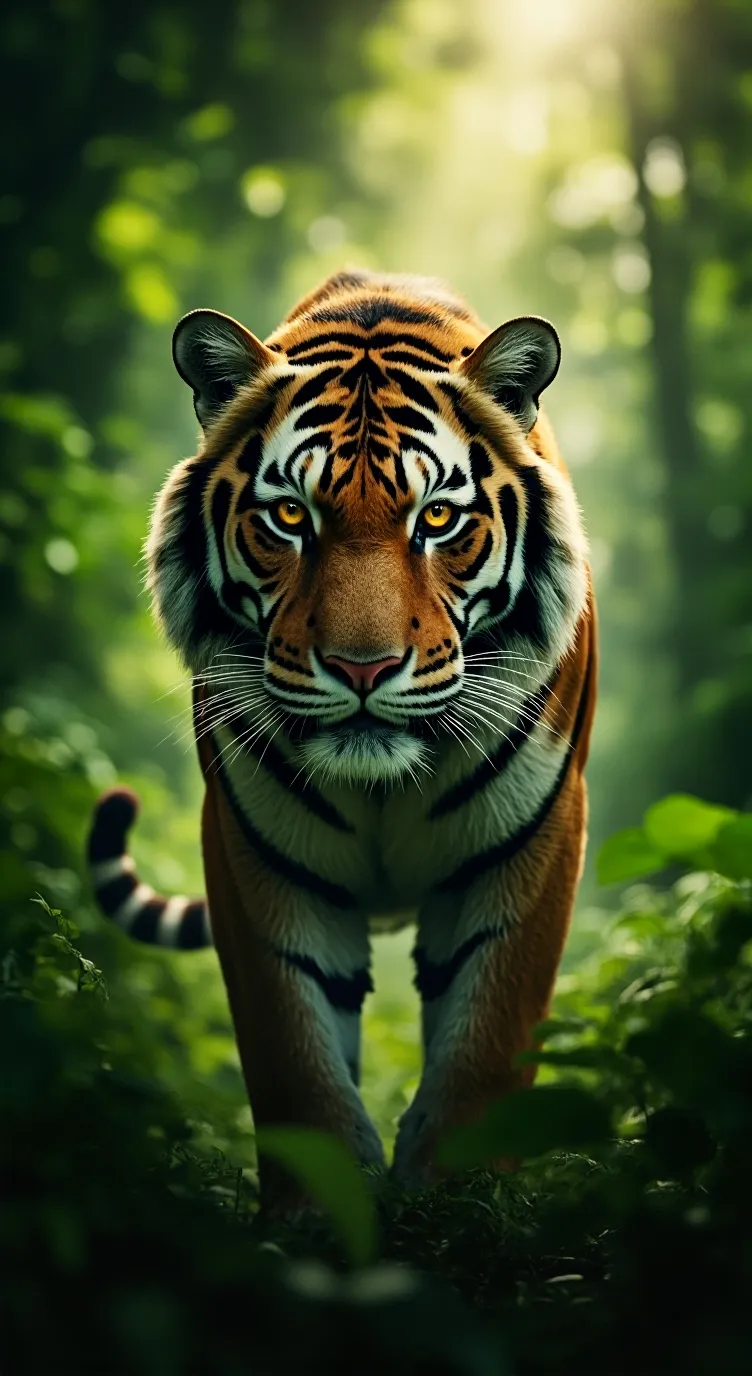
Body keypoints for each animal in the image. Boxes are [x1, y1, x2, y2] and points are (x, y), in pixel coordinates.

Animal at [88, 269, 596, 1204]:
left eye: (437, 520)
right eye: (291, 516)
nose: (364, 668)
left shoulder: (533, 844)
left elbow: (483, 1054)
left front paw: (458, 1207)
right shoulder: (258, 856)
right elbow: (297, 1064)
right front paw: (318, 1221)